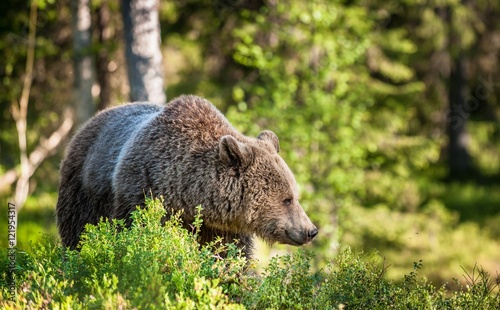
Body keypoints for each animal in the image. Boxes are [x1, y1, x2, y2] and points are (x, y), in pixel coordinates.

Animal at [55, 94, 316, 256]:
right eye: (287, 199)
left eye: (295, 195)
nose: (311, 230)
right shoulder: (140, 191)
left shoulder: (220, 227)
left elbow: (231, 255)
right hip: (83, 193)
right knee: (77, 234)